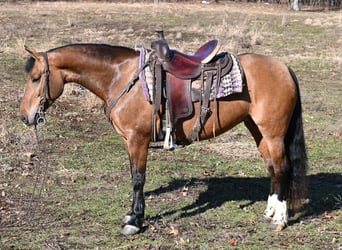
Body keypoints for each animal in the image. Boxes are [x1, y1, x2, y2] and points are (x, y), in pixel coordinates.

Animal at [18, 34, 308, 234]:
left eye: (36, 78)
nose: (24, 116)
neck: (121, 77)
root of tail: (284, 68)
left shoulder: (137, 140)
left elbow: (138, 179)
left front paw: (135, 222)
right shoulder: (130, 142)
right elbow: (134, 177)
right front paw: (131, 216)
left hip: (273, 132)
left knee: (282, 168)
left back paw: (280, 220)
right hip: (257, 130)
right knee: (271, 167)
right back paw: (270, 210)